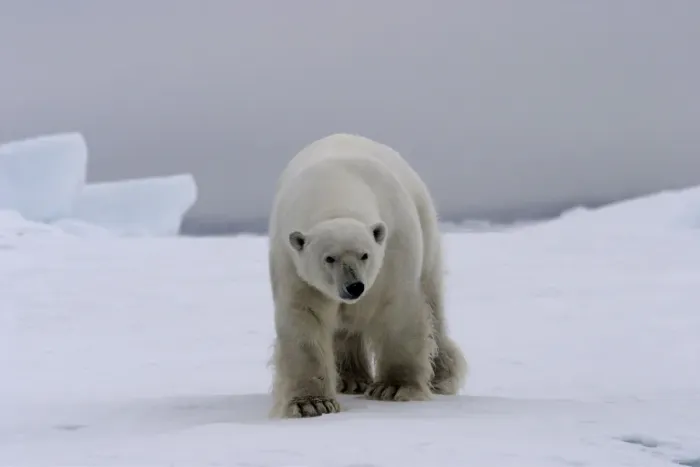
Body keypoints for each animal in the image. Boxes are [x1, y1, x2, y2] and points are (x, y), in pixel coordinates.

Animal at [267, 133, 467, 418]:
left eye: (365, 255)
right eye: (329, 258)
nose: (354, 287)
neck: (335, 188)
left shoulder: (394, 246)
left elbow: (397, 310)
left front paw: (394, 388)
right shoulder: (293, 263)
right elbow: (304, 319)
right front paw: (312, 404)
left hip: (426, 230)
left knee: (433, 303)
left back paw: (441, 376)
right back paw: (350, 379)